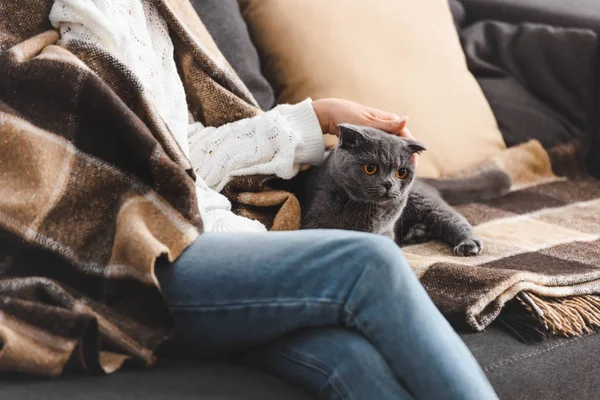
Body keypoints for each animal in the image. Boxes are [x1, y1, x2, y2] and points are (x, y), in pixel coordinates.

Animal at [300, 124, 510, 256]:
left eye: (401, 172)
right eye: (370, 168)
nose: (389, 184)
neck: (369, 210)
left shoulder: (386, 230)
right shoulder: (313, 224)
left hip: (421, 200)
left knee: (452, 218)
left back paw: (467, 243)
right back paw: (417, 233)